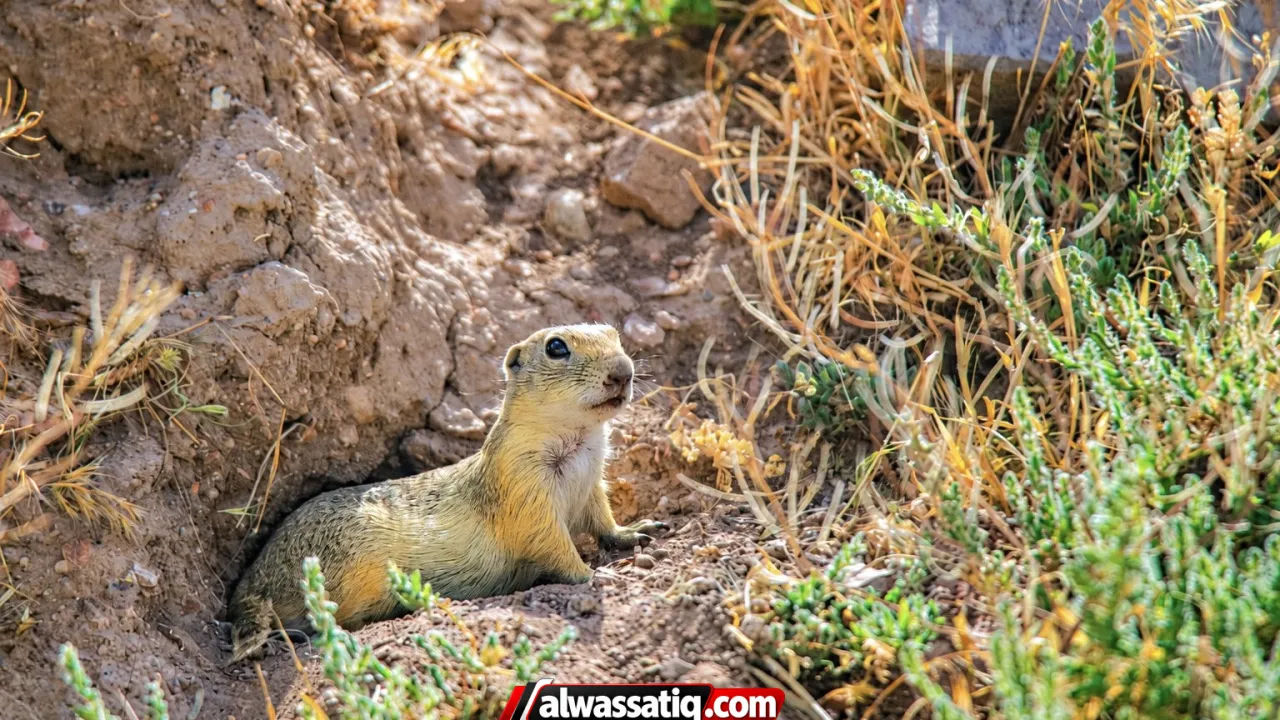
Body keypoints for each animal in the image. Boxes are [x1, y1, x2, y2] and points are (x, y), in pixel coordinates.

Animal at [226, 324, 665, 662]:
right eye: (557, 347)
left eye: (614, 334)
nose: (624, 371)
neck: (576, 439)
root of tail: (253, 579)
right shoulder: (524, 488)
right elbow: (552, 543)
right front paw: (593, 573)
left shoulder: (592, 484)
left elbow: (603, 520)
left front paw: (637, 531)